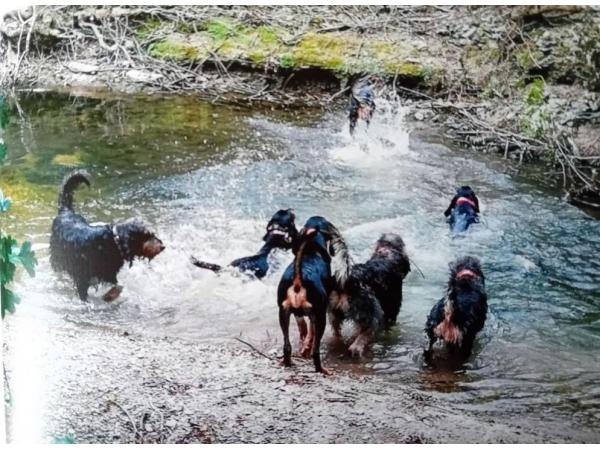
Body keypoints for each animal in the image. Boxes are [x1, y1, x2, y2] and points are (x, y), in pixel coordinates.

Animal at [49, 172, 165, 302]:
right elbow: (84, 294)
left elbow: (119, 286)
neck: (113, 242)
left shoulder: (109, 274)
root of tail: (66, 212)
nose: (162, 246)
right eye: (146, 235)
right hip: (58, 259)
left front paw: (110, 295)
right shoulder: (82, 278)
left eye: (152, 234)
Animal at [278, 216, 352, 374]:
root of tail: (298, 280)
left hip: (283, 314)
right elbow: (311, 333)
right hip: (320, 317)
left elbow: (303, 328)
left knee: (287, 347)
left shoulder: (298, 314)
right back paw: (322, 369)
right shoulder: (317, 314)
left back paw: (287, 363)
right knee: (316, 351)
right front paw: (306, 347)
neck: (310, 250)